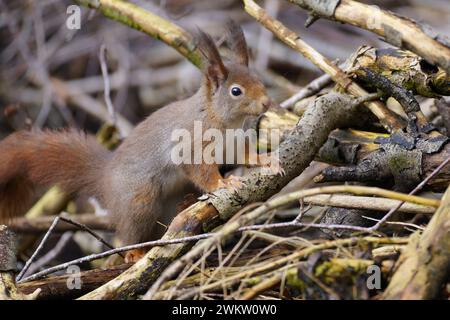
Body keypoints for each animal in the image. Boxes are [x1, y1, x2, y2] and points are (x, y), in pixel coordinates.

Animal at [0, 24, 274, 250]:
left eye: (259, 80)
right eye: (236, 91)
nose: (266, 102)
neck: (224, 122)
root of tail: (105, 178)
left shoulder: (234, 143)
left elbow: (245, 155)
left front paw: (264, 160)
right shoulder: (191, 143)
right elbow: (199, 169)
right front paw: (222, 183)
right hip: (139, 201)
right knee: (129, 234)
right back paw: (134, 254)